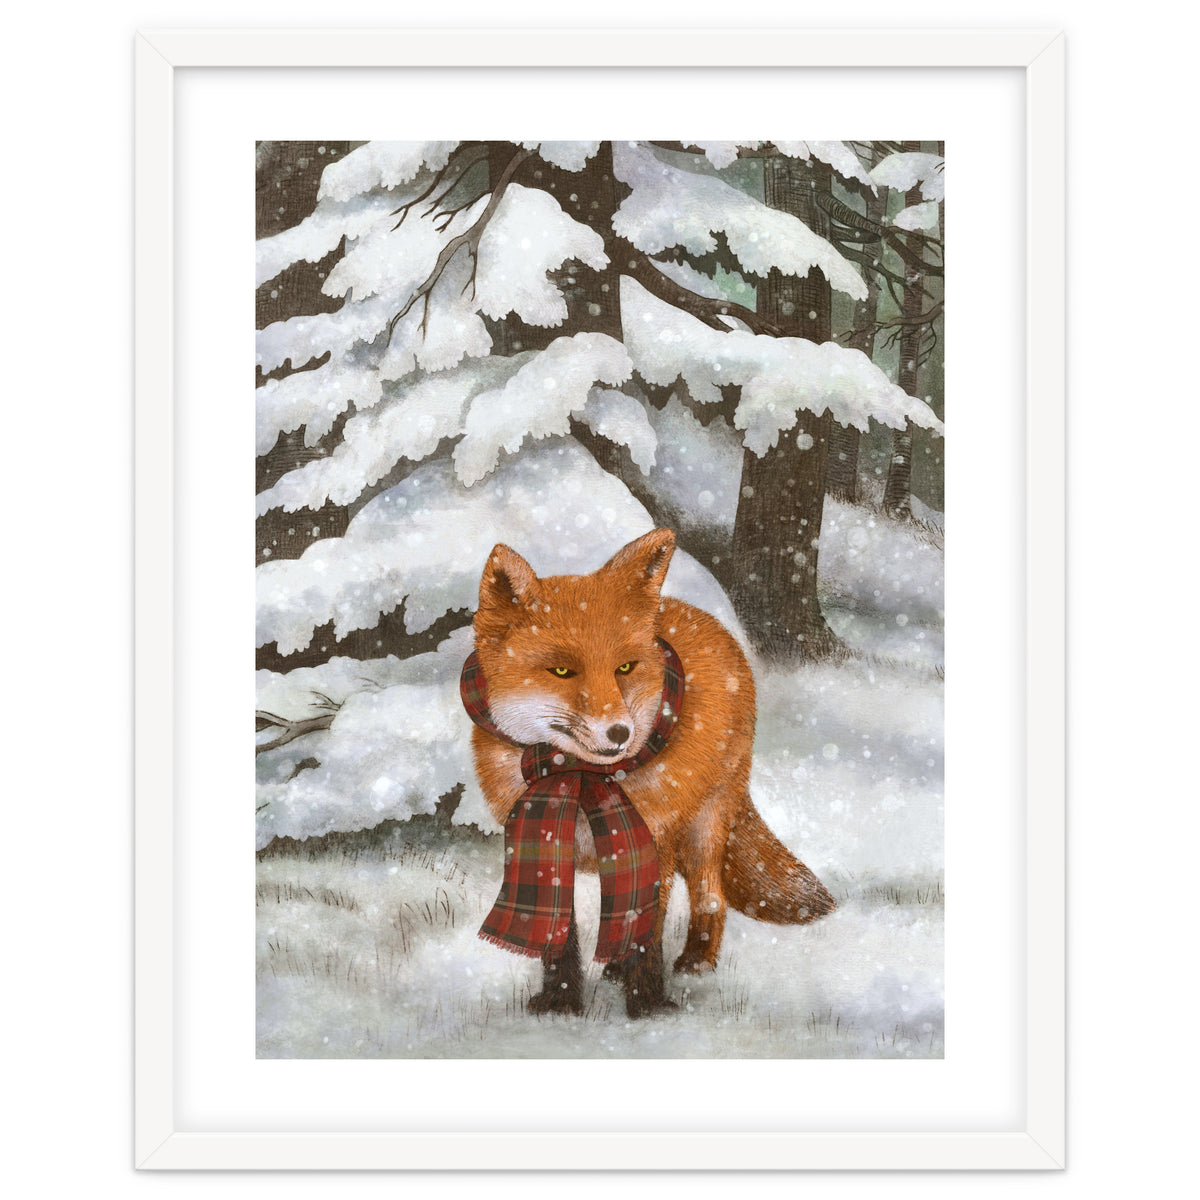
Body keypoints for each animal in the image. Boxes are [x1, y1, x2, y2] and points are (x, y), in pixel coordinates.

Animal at [468, 527, 835, 1018]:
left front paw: (647, 1006)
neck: (579, 778)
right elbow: (560, 934)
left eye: (625, 668)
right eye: (562, 671)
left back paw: (696, 961)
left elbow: (646, 932)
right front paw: (559, 1003)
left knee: (710, 896)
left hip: (704, 826)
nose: (620, 733)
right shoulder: (547, 842)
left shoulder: (652, 840)